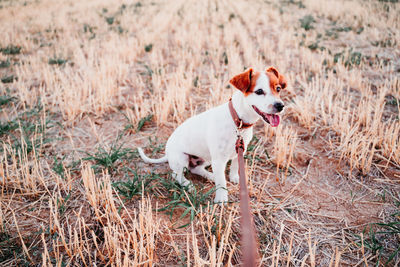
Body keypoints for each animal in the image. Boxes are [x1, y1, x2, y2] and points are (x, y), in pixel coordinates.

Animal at [138, 67, 288, 203]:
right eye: (259, 91)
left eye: (278, 88)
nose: (280, 105)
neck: (237, 121)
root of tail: (167, 153)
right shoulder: (219, 159)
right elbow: (222, 182)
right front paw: (221, 199)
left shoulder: (239, 150)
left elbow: (235, 166)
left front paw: (234, 178)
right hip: (182, 159)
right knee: (177, 175)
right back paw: (189, 185)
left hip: (206, 158)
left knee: (196, 169)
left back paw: (210, 176)